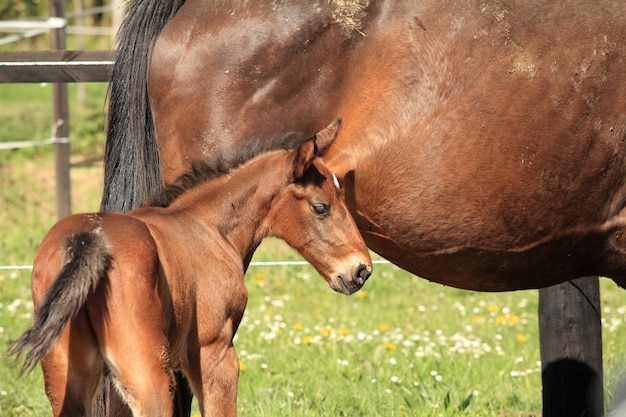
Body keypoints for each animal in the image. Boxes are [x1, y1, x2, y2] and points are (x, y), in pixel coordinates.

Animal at [8, 118, 370, 414]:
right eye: (320, 207)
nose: (361, 270)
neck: (209, 226)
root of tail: (89, 242)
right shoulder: (215, 354)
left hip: (66, 379)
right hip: (148, 377)